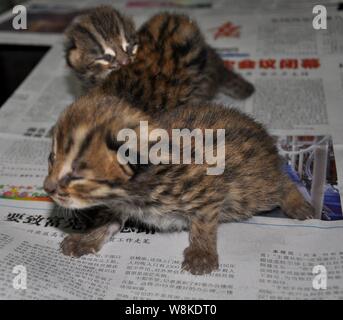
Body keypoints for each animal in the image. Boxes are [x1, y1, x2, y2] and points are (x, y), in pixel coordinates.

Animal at [43, 92, 314, 276]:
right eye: (51, 159)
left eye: (76, 175)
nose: (47, 188)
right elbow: (107, 221)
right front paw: (86, 239)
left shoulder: (207, 190)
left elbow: (203, 224)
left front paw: (201, 253)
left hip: (253, 189)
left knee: (282, 180)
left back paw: (297, 202)